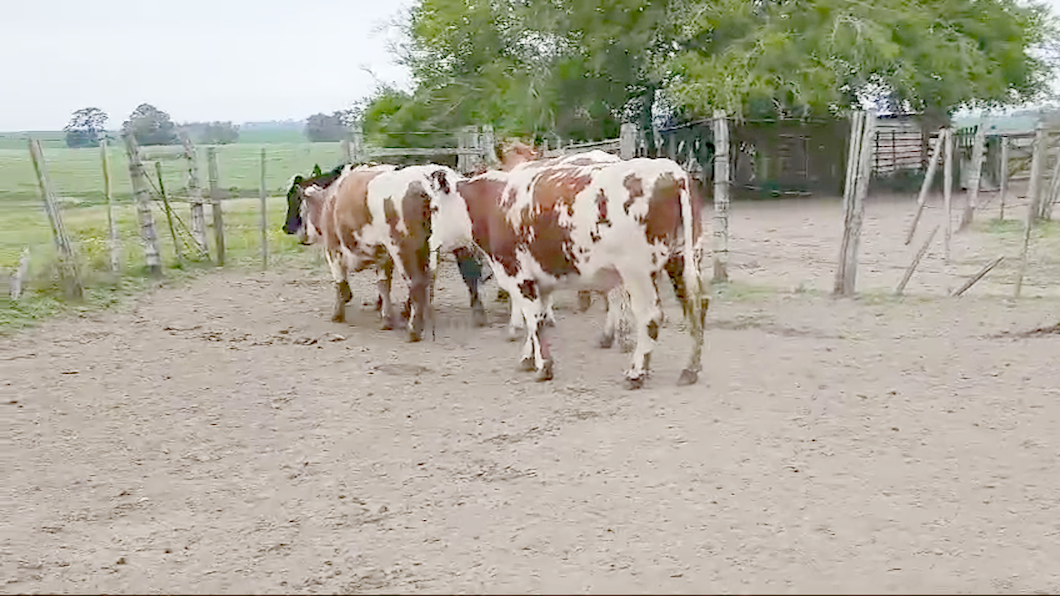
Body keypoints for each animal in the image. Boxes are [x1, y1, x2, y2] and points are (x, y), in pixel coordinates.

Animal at [443, 150, 708, 388]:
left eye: (434, 206)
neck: (496, 201)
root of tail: (671, 172)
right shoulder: (541, 279)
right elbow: (536, 320)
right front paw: (529, 358)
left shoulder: (517, 273)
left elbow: (532, 318)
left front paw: (544, 367)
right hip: (682, 260)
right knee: (695, 307)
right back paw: (690, 369)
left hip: (637, 272)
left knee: (650, 316)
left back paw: (636, 372)